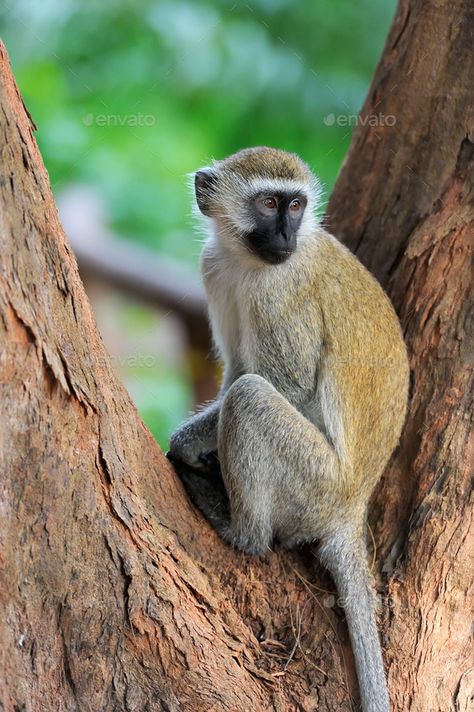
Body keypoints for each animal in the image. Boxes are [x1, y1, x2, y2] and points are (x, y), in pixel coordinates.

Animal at [168, 146, 410, 712]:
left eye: (296, 206)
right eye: (269, 203)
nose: (285, 236)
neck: (246, 262)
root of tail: (351, 508)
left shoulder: (278, 295)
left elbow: (285, 385)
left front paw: (185, 446)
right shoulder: (213, 268)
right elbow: (237, 368)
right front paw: (198, 450)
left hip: (314, 485)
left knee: (251, 399)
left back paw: (242, 531)